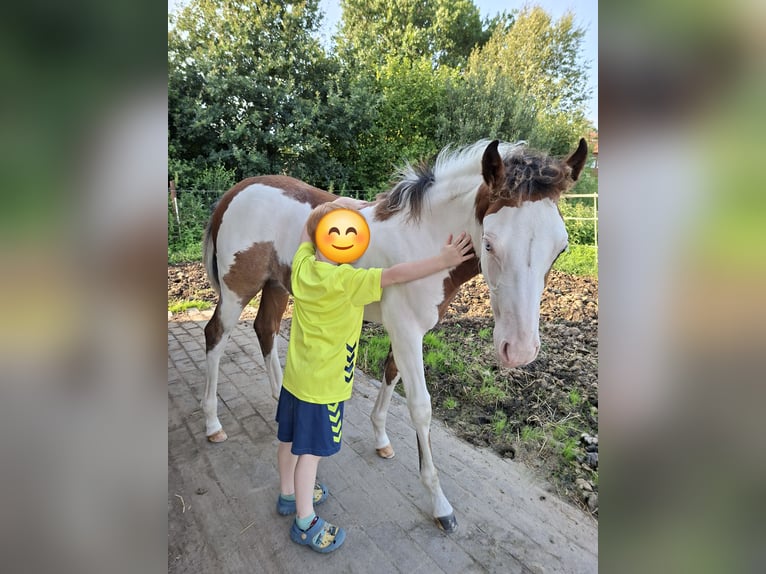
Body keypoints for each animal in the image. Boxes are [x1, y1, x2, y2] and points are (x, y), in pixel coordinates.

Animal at [201, 137, 588, 532]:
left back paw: (281, 400)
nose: (519, 350)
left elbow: (390, 374)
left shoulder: (407, 330)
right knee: (216, 336)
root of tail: (237, 191)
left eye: (560, 249)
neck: (425, 238)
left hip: (277, 285)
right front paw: (440, 504)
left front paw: (382, 439)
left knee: (265, 329)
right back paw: (213, 423)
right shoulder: (406, 330)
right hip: (236, 291)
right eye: (491, 244)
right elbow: (420, 406)